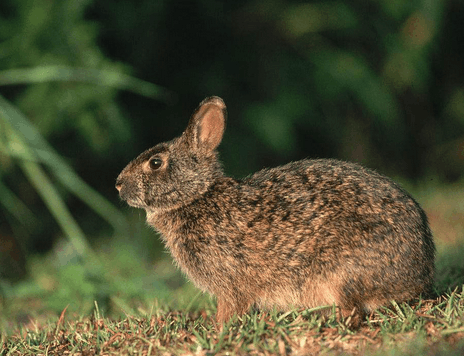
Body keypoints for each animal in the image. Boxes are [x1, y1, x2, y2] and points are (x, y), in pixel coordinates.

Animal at [115, 96, 436, 326]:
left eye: (155, 163)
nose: (117, 184)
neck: (197, 195)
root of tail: (419, 274)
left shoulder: (230, 283)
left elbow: (230, 308)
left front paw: (218, 329)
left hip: (340, 271)